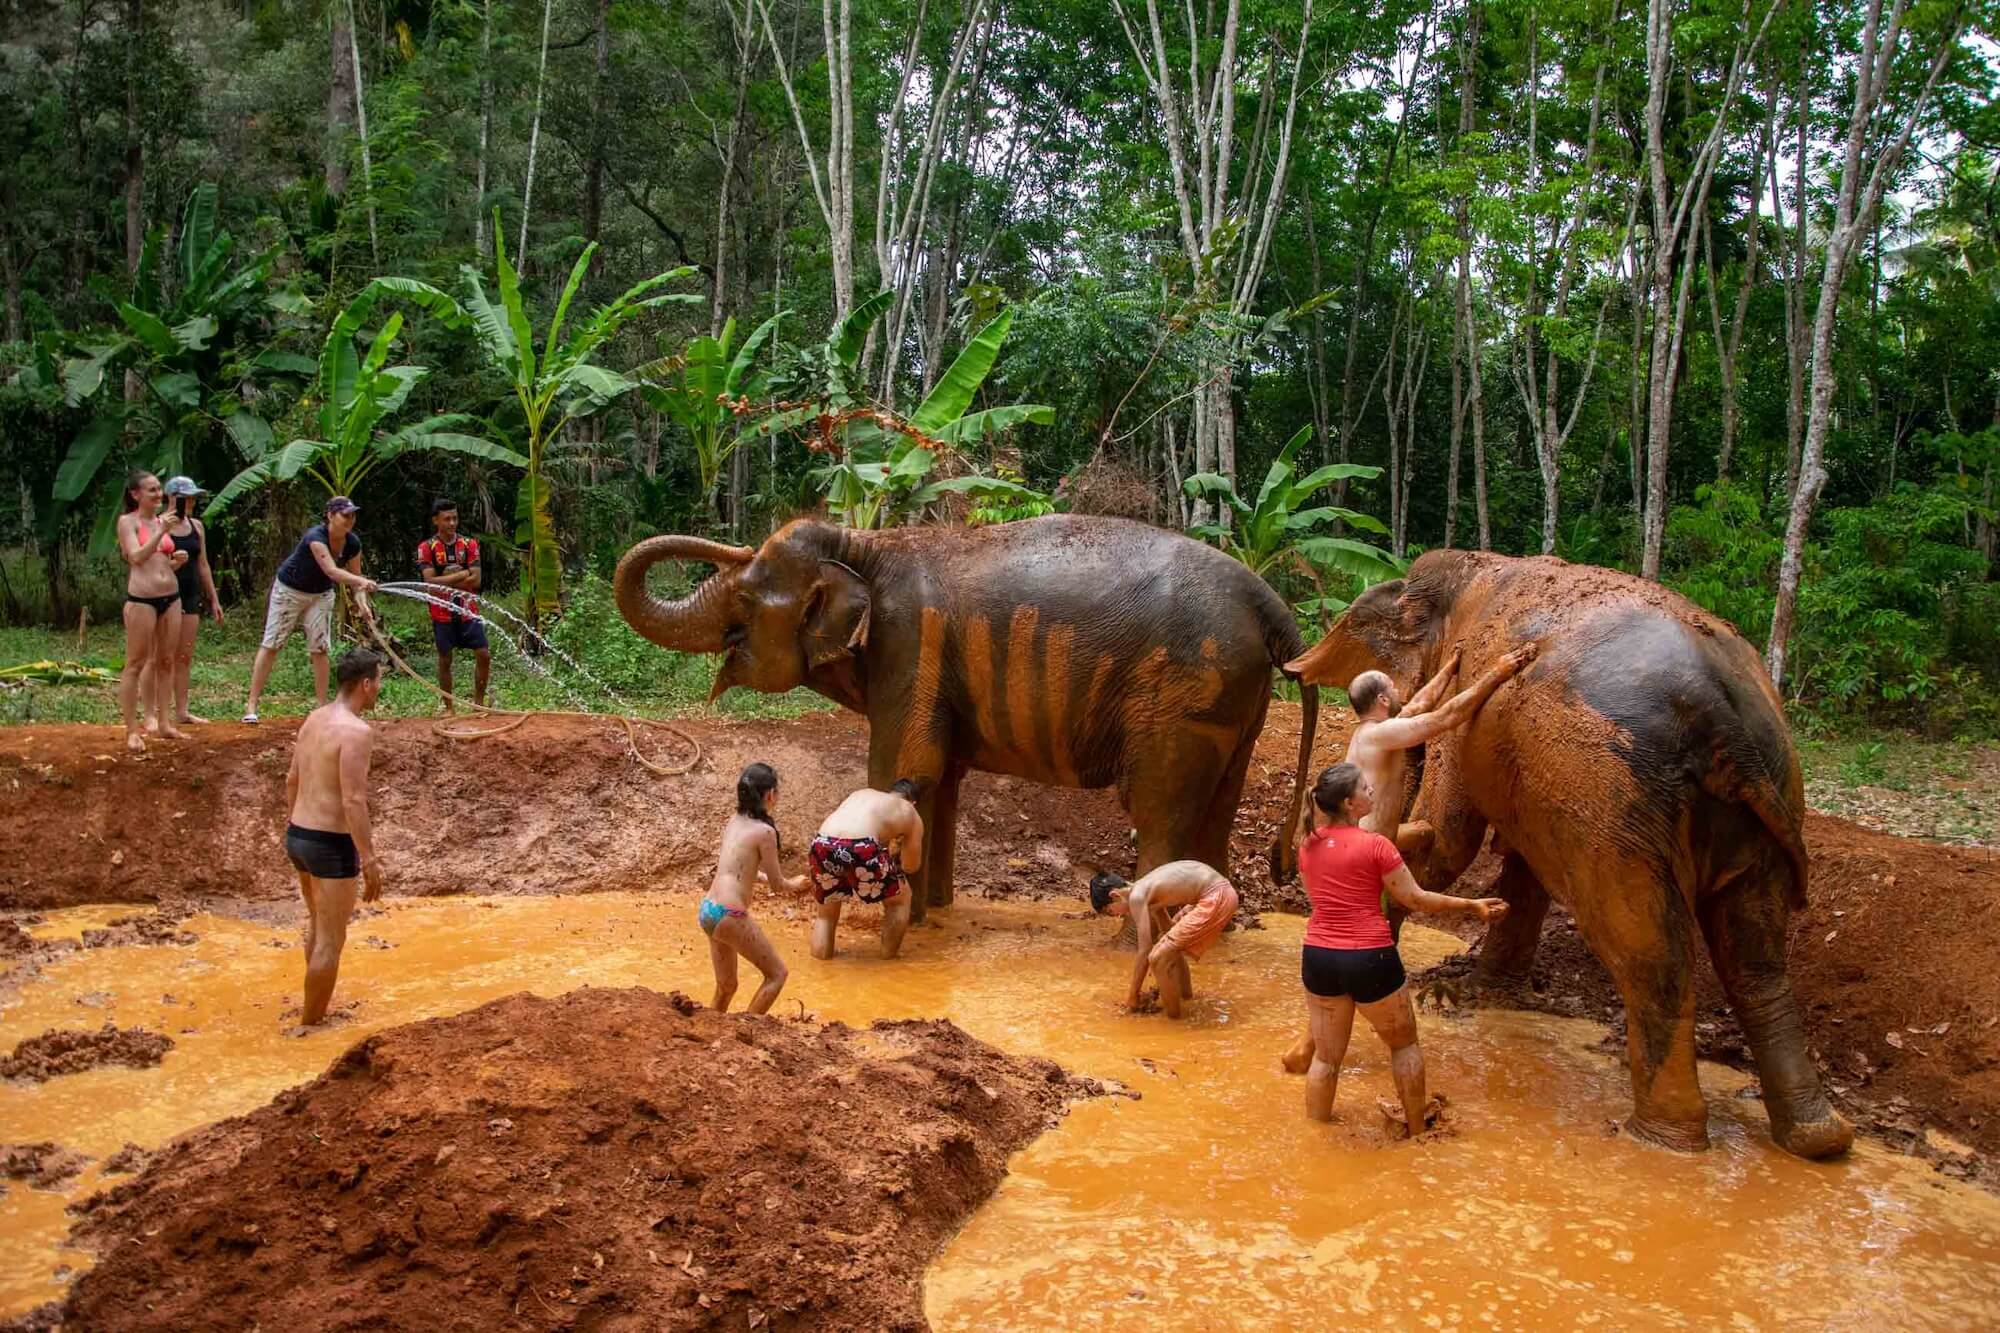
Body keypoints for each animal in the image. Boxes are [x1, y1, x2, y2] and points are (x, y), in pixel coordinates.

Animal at [616, 512, 1320, 920]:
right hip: (1238, 701)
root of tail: (1268, 600)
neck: (865, 544)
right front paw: (936, 915)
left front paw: (894, 919)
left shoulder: (910, 644)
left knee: (1160, 812)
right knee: (1216, 809)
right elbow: (940, 779)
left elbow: (898, 769)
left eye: (744, 600)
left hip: (1187, 695)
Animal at [1288, 544, 1848, 1160]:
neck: (1467, 570)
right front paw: (1476, 991)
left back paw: (1660, 1138)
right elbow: (1505, 861)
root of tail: (1714, 705)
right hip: (1734, 793)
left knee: (1649, 950)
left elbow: (1450, 840)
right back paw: (1816, 1140)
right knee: (1754, 957)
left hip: (1612, 802)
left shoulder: (1478, 740)